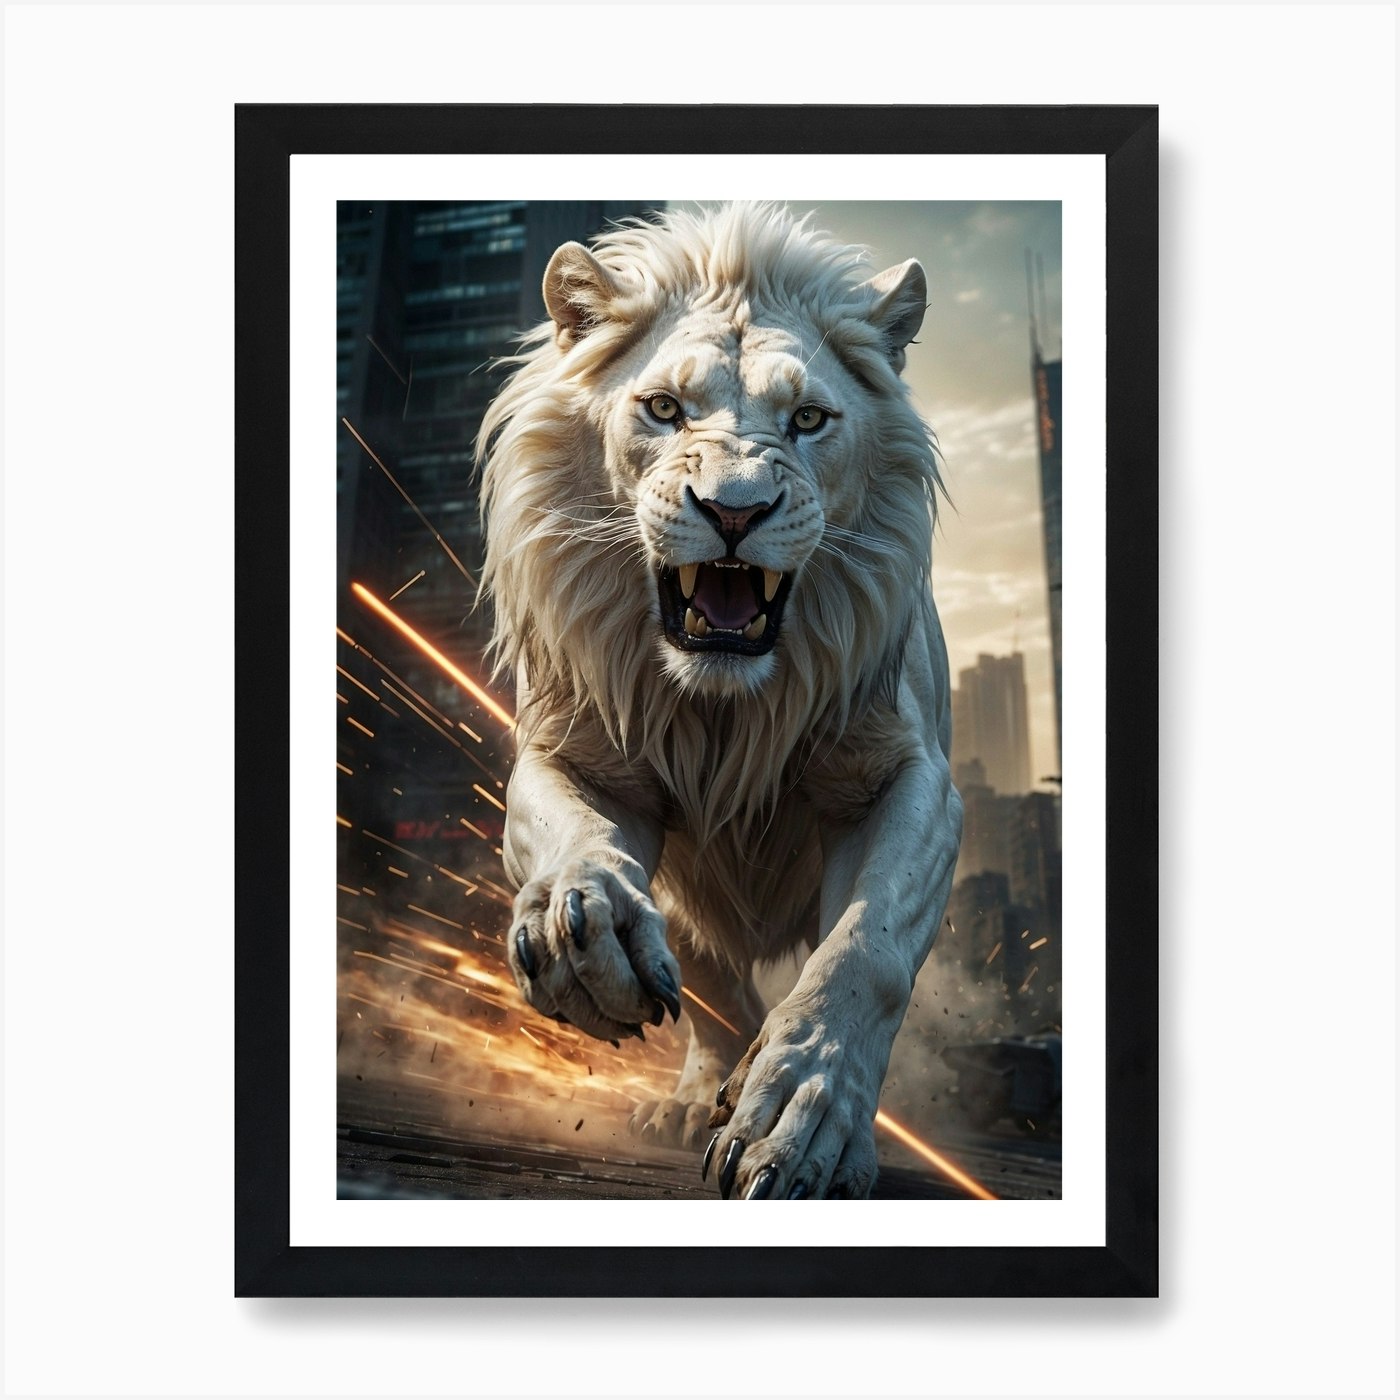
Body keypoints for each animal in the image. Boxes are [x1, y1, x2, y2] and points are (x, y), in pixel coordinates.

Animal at [477, 202, 963, 1200]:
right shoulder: (578, 753)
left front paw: (801, 1121)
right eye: (665, 408)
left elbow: (865, 954)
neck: (727, 709)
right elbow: (578, 849)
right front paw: (587, 943)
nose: (734, 510)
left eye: (809, 418)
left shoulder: (907, 782)